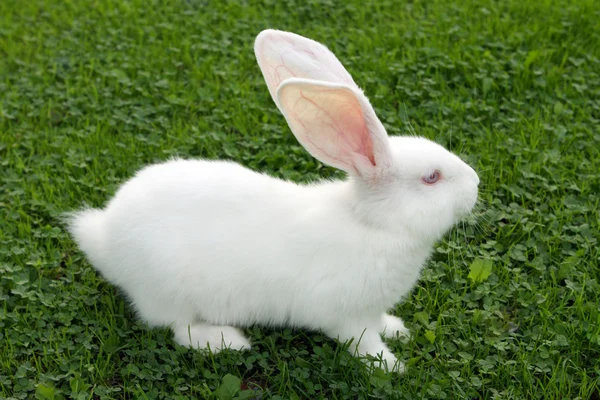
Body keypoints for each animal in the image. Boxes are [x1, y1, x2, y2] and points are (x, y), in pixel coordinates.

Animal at [67, 29, 478, 374]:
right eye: (432, 177)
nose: (476, 183)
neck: (373, 223)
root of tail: (104, 237)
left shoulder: (370, 309)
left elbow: (379, 324)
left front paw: (397, 329)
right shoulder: (348, 315)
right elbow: (363, 343)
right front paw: (391, 366)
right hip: (170, 293)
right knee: (179, 329)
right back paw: (227, 340)